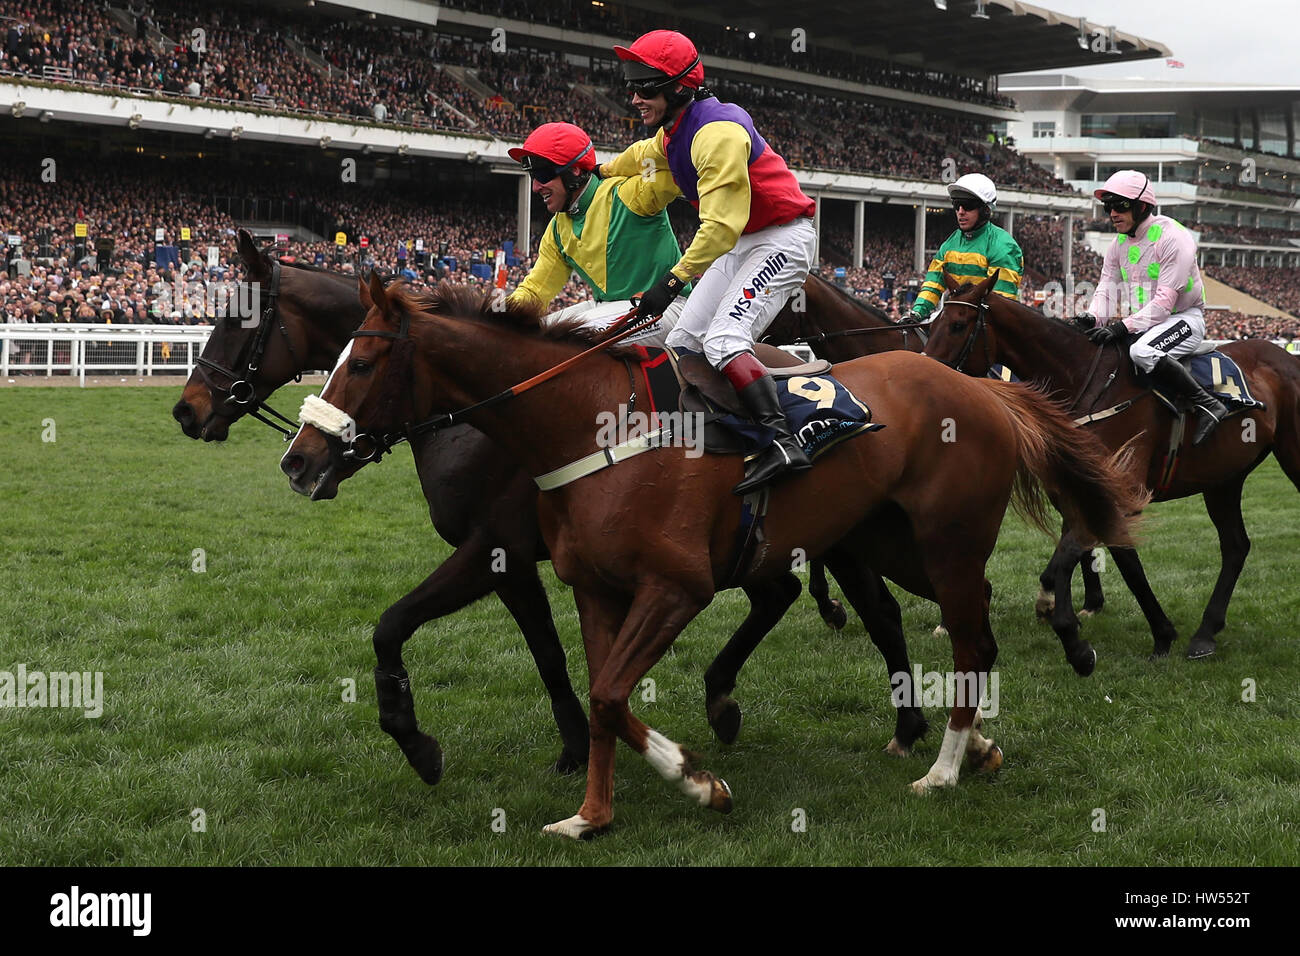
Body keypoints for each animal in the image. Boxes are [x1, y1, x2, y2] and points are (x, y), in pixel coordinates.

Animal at [175, 231, 935, 785]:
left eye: (235, 317)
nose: (188, 410)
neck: (488, 418)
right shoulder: (523, 561)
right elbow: (543, 648)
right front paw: (580, 744)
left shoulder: (496, 548)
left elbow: (398, 627)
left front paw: (421, 743)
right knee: (780, 594)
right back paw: (725, 701)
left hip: (834, 531)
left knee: (878, 609)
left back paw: (908, 726)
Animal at [282, 274, 1138, 837]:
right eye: (333, 358)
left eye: (362, 364)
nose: (299, 461)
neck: (586, 425)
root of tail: (985, 389)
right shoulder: (593, 588)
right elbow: (601, 694)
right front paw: (592, 815)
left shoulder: (674, 585)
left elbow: (608, 695)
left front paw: (696, 782)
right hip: (893, 542)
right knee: (969, 628)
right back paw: (980, 742)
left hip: (947, 541)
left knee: (960, 636)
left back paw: (946, 766)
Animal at [920, 269, 1300, 658]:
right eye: (932, 323)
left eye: (958, 324)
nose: (925, 373)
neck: (1088, 383)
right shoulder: (1081, 490)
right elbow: (1104, 556)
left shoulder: (1121, 490)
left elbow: (1095, 556)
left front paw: (1076, 621)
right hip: (1223, 478)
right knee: (1236, 546)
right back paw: (1205, 632)